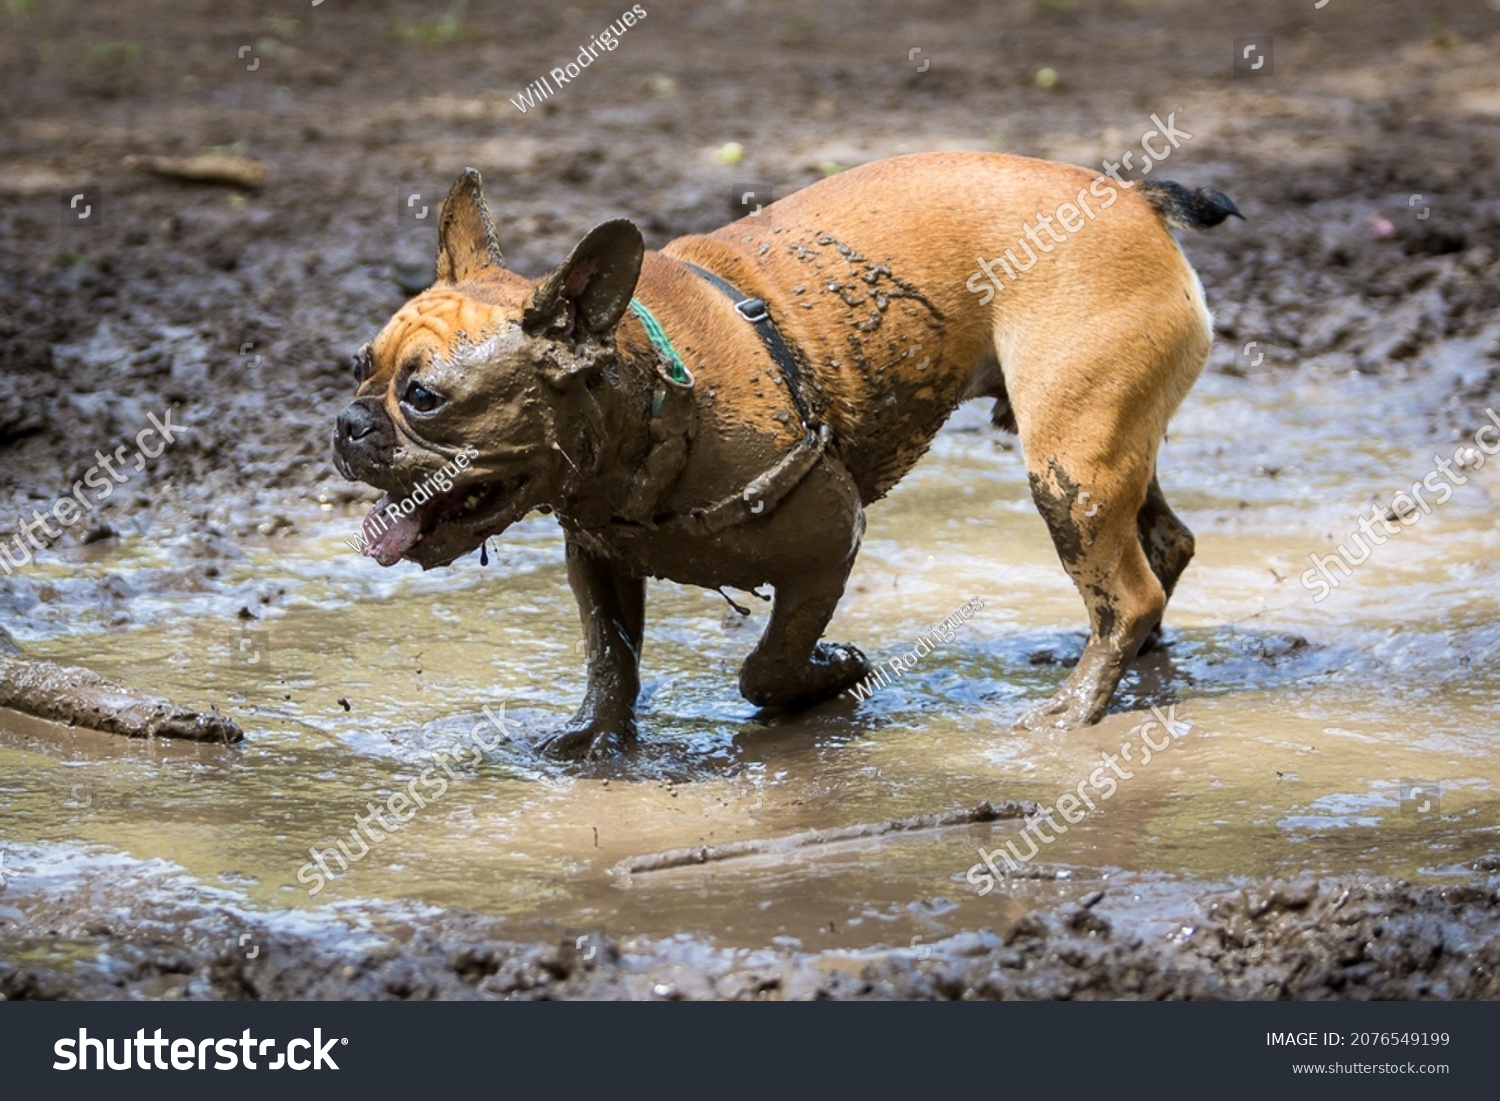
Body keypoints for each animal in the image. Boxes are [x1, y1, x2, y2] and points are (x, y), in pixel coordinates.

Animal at [334, 153, 1236, 759]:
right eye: (356, 367)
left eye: (425, 398)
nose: (347, 423)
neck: (647, 394)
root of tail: (1134, 200)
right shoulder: (599, 560)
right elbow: (611, 657)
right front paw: (597, 738)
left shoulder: (828, 544)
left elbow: (765, 664)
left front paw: (832, 672)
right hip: (1098, 449)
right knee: (1159, 551)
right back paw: (1126, 658)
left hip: (1069, 464)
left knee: (1128, 591)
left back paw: (1076, 705)